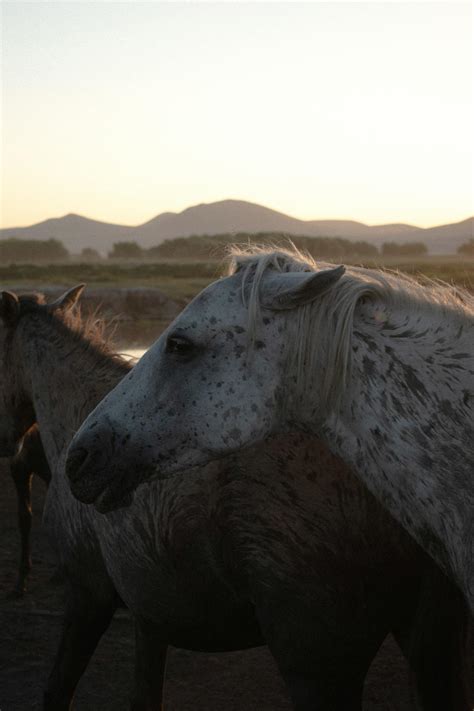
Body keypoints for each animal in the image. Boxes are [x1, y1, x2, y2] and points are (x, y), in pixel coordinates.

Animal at [1, 287, 470, 709]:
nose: (79, 461)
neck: (73, 410)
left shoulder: (88, 596)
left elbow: (57, 690)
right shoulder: (149, 617)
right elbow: (144, 697)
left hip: (318, 668)